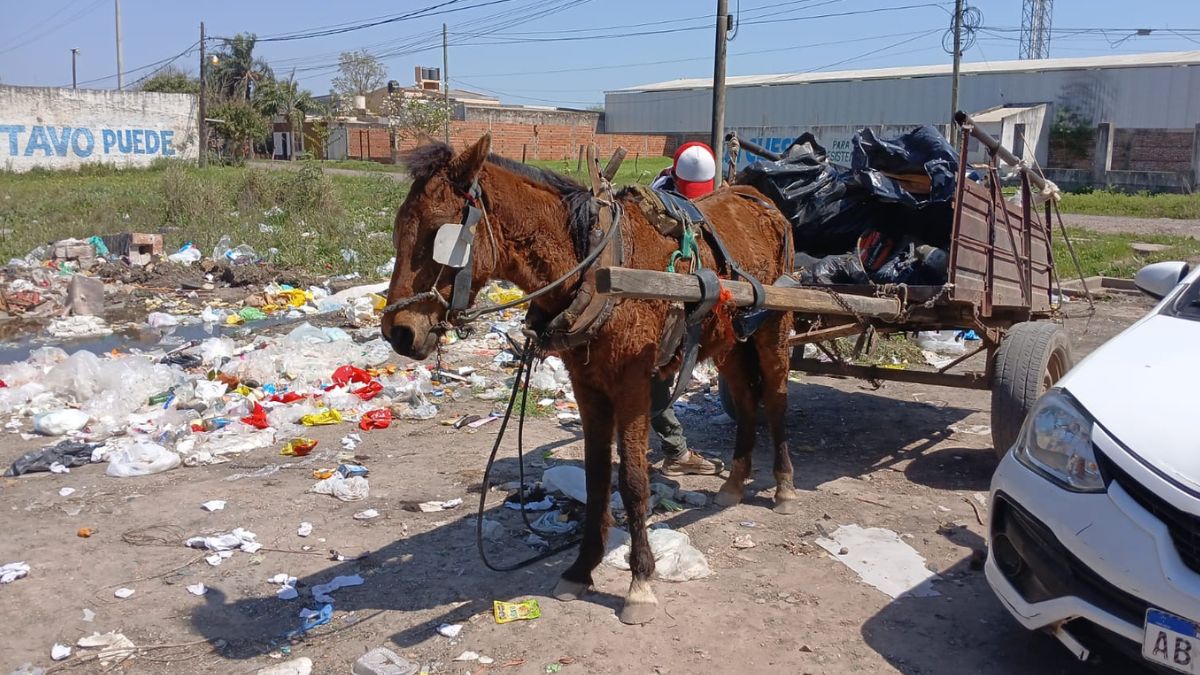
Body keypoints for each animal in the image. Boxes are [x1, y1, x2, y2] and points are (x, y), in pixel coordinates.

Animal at [384, 133, 796, 624]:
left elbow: (633, 482)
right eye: (399, 229)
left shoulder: (634, 384)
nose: (398, 332)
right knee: (747, 400)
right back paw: (734, 482)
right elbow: (598, 476)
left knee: (775, 398)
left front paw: (640, 581)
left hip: (774, 327)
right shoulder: (587, 385)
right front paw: (582, 568)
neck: (595, 268)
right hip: (731, 339)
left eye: (438, 233)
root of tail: (758, 198)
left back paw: (784, 485)